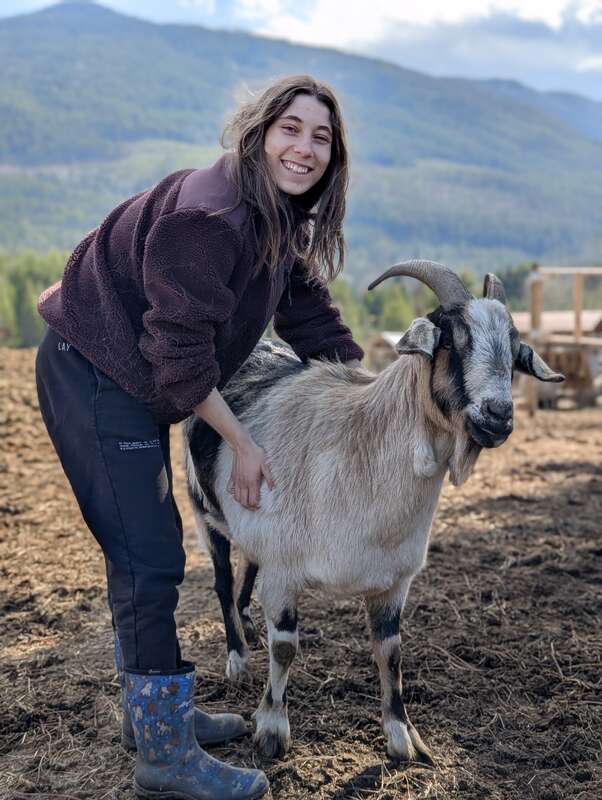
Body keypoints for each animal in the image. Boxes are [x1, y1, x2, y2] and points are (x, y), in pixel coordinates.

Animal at [183, 260, 563, 764]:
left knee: (246, 571)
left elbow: (391, 653)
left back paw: (248, 628)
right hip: (204, 513)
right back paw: (238, 658)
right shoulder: (284, 571)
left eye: (516, 351)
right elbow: (285, 648)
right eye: (451, 341)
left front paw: (403, 737)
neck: (357, 454)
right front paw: (271, 730)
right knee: (224, 580)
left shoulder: (392, 581)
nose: (498, 415)